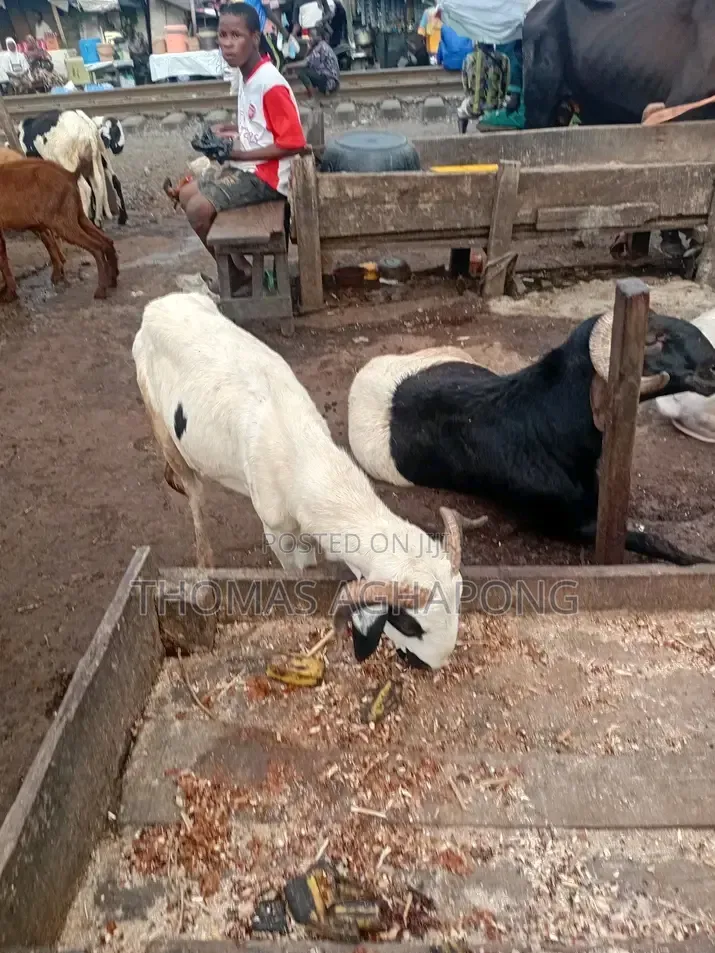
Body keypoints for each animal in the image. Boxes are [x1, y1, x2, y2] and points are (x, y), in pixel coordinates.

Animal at [0, 153, 118, 302]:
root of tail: (70, 175)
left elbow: (3, 261)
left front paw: (9, 293)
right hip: (78, 217)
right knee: (106, 241)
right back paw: (112, 280)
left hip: (62, 223)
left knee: (96, 247)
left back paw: (101, 290)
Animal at [132, 291, 486, 670]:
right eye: (409, 623)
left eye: (459, 599)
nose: (430, 665)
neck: (303, 455)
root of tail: (160, 304)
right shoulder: (277, 532)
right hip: (161, 423)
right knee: (194, 495)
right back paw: (203, 558)